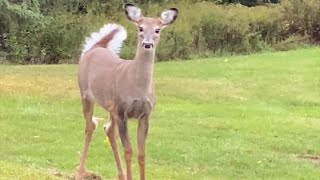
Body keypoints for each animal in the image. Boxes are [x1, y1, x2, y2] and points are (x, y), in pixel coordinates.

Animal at [76, 3, 179, 180]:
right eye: (140, 28)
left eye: (158, 30)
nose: (147, 44)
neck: (138, 87)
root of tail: (96, 47)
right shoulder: (122, 111)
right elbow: (129, 151)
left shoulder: (145, 114)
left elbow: (142, 154)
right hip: (86, 94)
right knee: (90, 127)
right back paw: (80, 171)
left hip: (110, 106)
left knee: (109, 130)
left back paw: (120, 175)